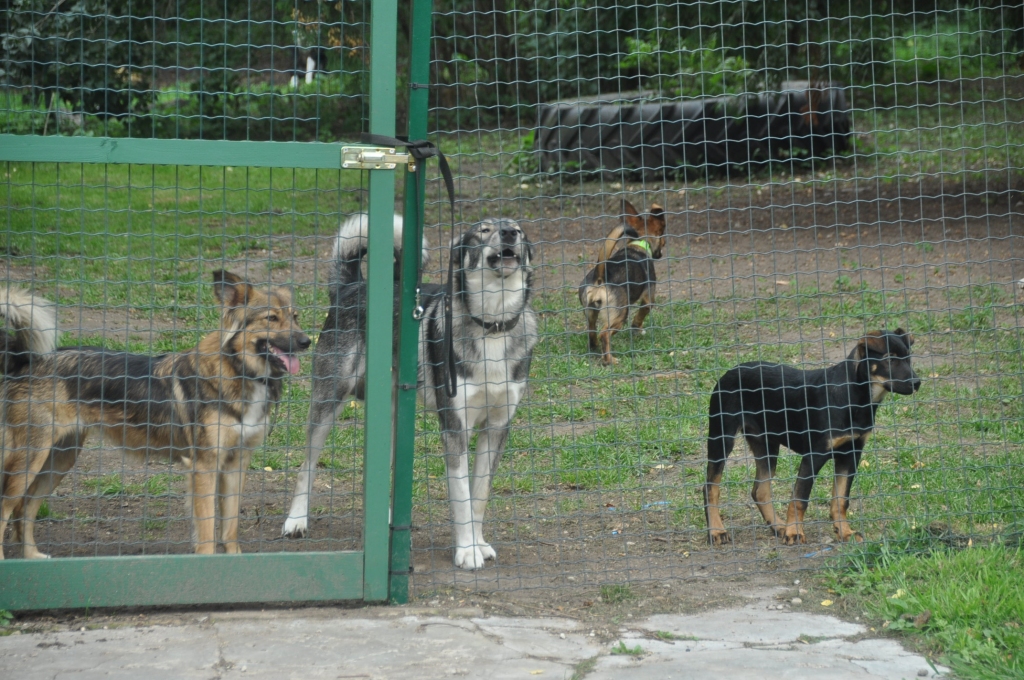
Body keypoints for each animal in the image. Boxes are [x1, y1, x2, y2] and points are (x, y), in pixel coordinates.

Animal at [0, 270, 311, 557]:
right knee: (6, 508)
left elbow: (230, 527)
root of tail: (27, 360)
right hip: (31, 457)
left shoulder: (236, 462)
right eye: (271, 318)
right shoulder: (204, 465)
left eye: (295, 317)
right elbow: (208, 532)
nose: (307, 341)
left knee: (24, 509)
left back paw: (32, 557)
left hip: (60, 458)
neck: (240, 370)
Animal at [280, 210, 536, 569]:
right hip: (328, 402)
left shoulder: (497, 428)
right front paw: (466, 551)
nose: (509, 234)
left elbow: (479, 495)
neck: (492, 325)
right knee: (307, 465)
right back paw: (296, 521)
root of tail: (351, 285)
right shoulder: (455, 427)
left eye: (518, 230)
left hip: (390, 424)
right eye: (484, 231)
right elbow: (462, 496)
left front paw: (479, 543)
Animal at [581, 197, 667, 364]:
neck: (639, 244)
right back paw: (610, 360)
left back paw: (594, 347)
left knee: (592, 331)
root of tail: (599, 278)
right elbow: (641, 314)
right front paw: (636, 328)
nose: (660, 254)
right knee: (604, 334)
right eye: (663, 240)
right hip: (620, 314)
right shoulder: (648, 299)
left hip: (591, 313)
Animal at [704, 329, 921, 548]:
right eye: (890, 359)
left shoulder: (851, 455)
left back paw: (778, 526)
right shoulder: (814, 455)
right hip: (721, 437)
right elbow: (800, 498)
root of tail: (728, 372)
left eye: (908, 358)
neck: (855, 398)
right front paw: (794, 532)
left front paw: (845, 533)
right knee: (710, 488)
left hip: (766, 444)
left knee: (760, 491)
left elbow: (840, 500)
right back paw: (717, 531)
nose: (917, 383)